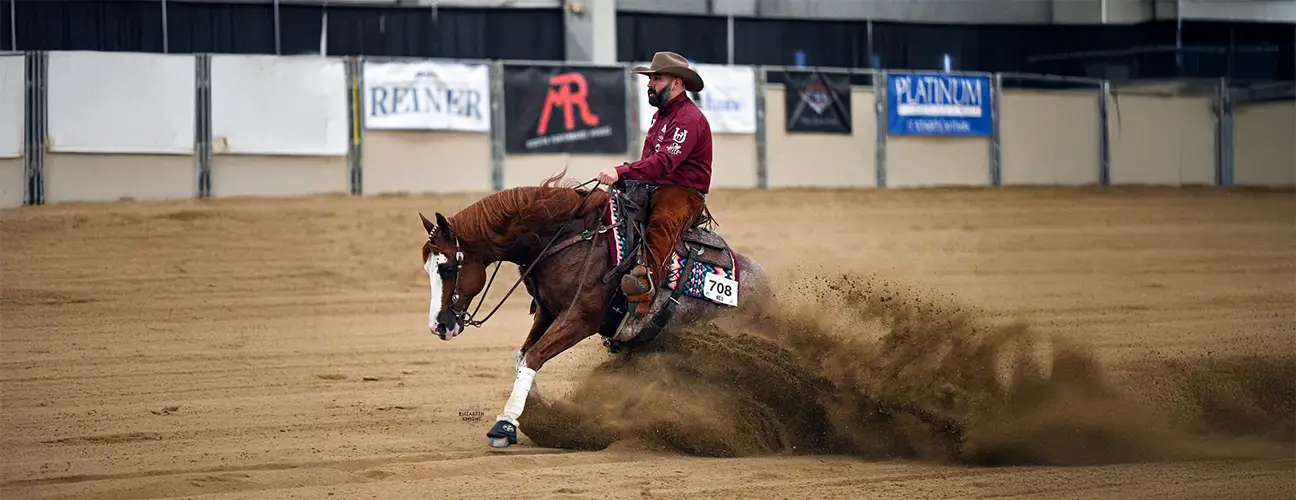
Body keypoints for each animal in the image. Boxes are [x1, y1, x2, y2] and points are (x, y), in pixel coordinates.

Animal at [417, 172, 773, 449]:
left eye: (447, 268)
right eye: (428, 269)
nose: (439, 326)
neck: (572, 237)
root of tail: (766, 287)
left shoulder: (580, 319)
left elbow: (533, 357)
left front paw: (506, 424)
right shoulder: (548, 312)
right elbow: (523, 356)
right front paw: (531, 410)